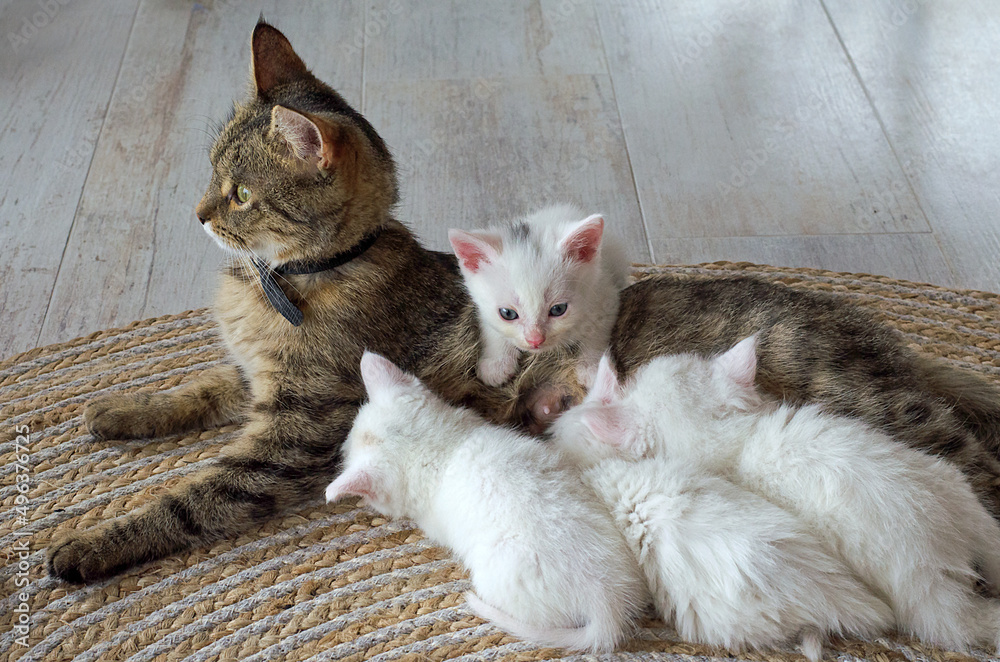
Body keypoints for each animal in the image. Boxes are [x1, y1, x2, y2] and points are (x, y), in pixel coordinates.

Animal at [450, 205, 628, 386]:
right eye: (507, 313)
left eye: (558, 309)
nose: (535, 340)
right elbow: (492, 329)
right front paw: (497, 363)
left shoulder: (605, 296)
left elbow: (596, 333)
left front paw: (593, 367)